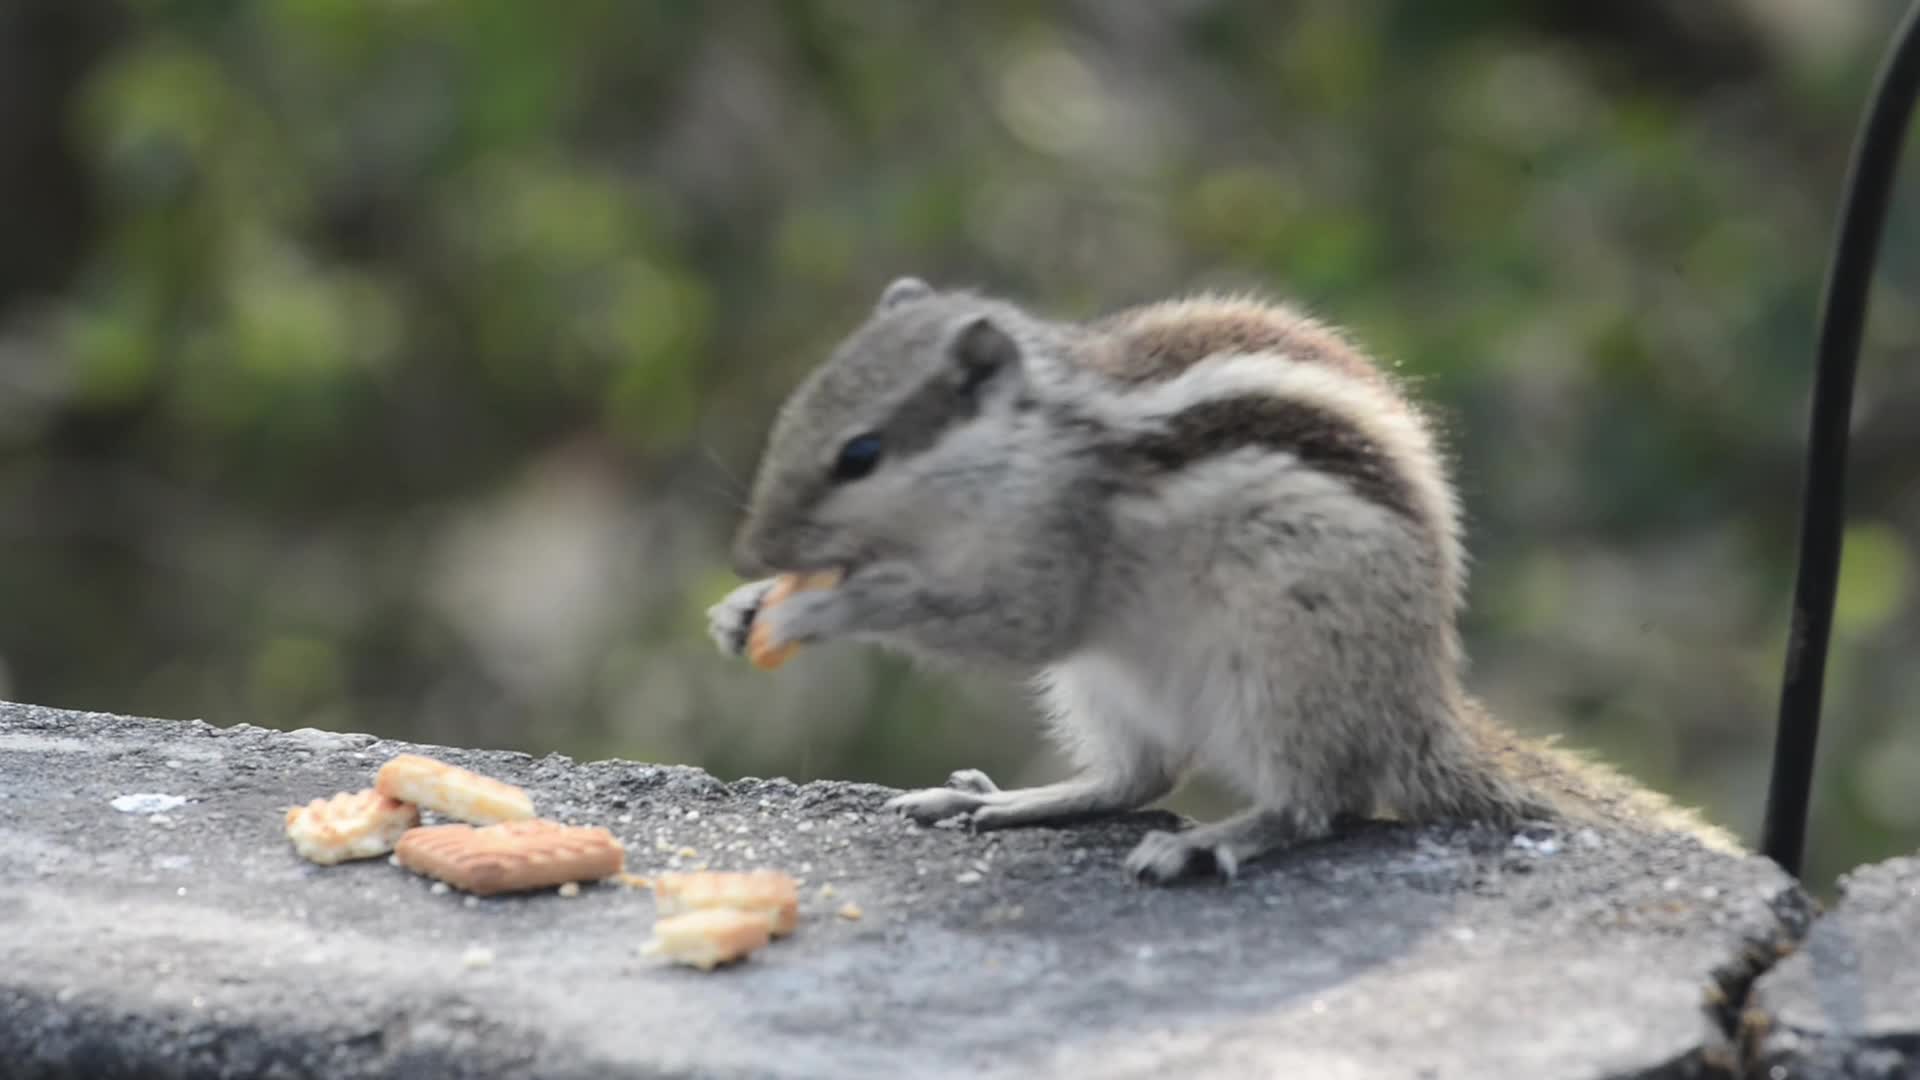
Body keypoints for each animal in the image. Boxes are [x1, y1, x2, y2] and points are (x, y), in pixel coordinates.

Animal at [708, 276, 1741, 883]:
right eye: (797, 410)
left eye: (861, 455)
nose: (752, 551)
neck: (1024, 451)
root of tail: (1420, 708)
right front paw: (746, 609)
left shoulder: (1060, 555)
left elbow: (1010, 621)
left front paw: (825, 607)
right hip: (1105, 686)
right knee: (1135, 776)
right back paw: (999, 801)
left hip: (1277, 670)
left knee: (1317, 805)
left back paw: (1216, 839)